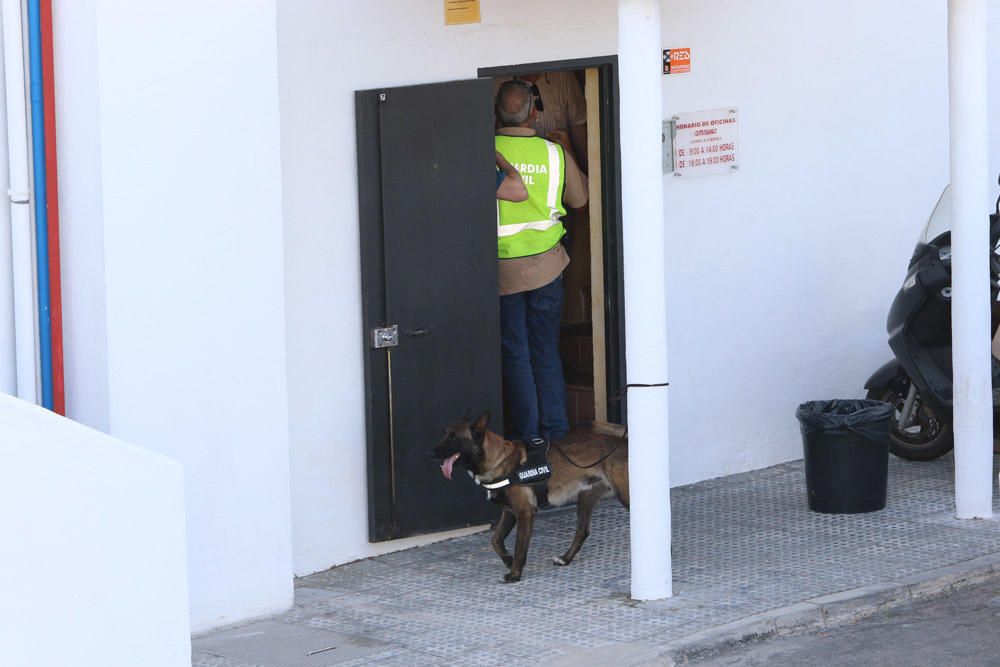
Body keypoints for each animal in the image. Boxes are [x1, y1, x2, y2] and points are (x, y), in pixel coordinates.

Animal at [428, 414, 628, 580]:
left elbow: (519, 547)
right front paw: (508, 560)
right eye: (445, 434)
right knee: (582, 531)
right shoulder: (509, 511)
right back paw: (565, 558)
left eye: (454, 438)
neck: (498, 460)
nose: (430, 453)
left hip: (624, 496)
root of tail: (624, 441)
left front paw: (514, 574)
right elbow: (495, 539)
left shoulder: (525, 512)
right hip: (585, 497)